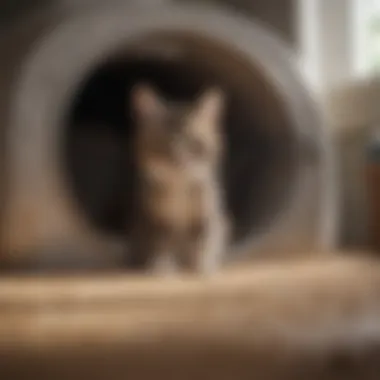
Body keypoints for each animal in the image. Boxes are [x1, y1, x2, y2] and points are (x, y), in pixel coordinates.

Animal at [128, 84, 229, 274]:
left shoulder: (208, 215)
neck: (179, 190)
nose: (179, 160)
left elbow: (204, 240)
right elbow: (160, 244)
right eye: (163, 143)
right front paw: (162, 266)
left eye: (194, 143)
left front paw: (202, 265)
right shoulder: (153, 221)